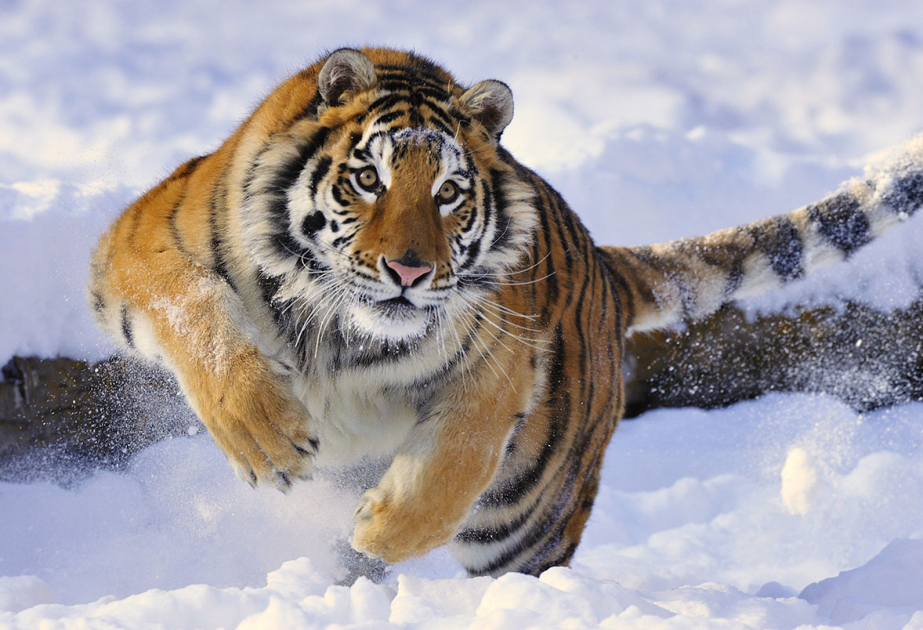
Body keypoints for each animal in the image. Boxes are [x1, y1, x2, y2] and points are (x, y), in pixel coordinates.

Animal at [88, 47, 923, 577]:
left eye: (449, 193)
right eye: (367, 178)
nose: (408, 271)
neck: (339, 329)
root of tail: (602, 264)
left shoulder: (500, 361)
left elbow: (455, 461)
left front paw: (384, 530)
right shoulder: (135, 244)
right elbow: (196, 312)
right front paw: (265, 439)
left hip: (529, 517)